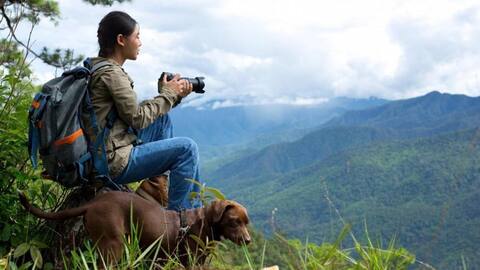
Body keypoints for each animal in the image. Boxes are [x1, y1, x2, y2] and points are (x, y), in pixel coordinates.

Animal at [18, 192, 251, 266]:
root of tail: (93, 203)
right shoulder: (191, 263)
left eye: (247, 222)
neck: (203, 222)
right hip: (113, 245)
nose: (248, 241)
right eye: (234, 222)